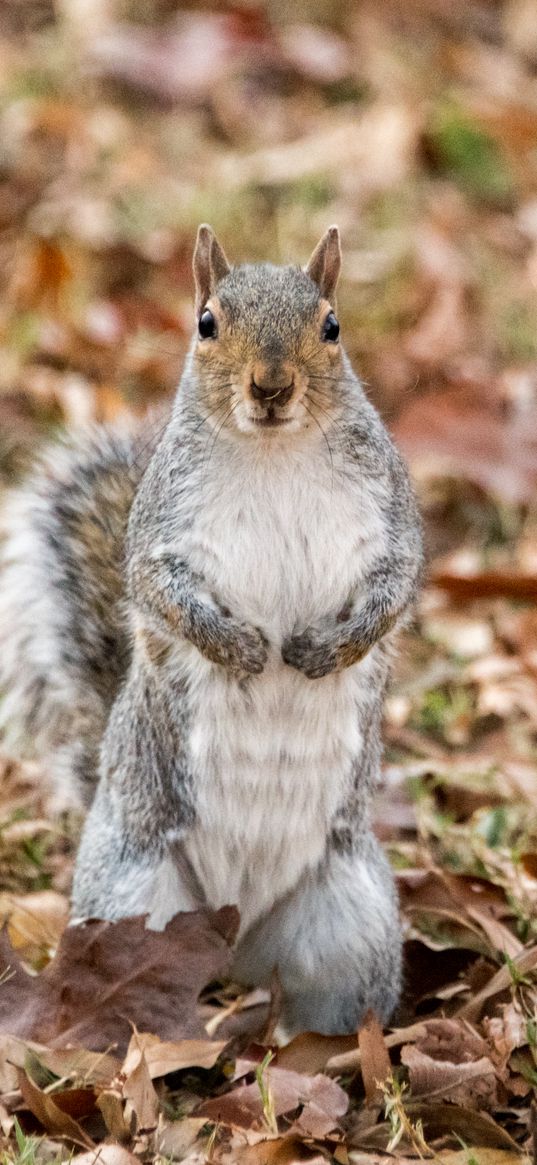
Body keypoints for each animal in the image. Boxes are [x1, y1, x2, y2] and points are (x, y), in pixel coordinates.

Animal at [0, 227, 421, 1039]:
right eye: (205, 323)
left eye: (332, 326)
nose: (271, 387)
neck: (273, 454)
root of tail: (232, 930)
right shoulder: (158, 535)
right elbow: (160, 593)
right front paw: (240, 649)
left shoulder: (393, 521)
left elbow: (395, 589)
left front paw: (325, 650)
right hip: (128, 902)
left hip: (349, 922)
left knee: (327, 1013)